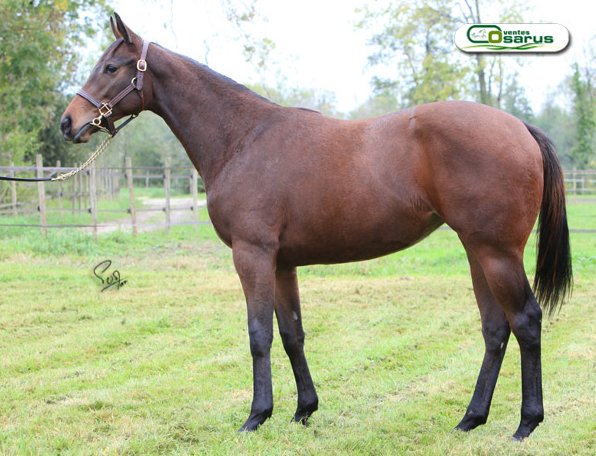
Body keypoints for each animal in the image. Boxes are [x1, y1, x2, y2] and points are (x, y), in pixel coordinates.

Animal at [60, 14, 572, 440]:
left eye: (111, 67)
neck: (241, 138)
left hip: (496, 252)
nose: (68, 123)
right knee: (495, 329)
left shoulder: (252, 255)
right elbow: (292, 334)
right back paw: (470, 418)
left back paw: (526, 423)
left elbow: (259, 335)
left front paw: (256, 416)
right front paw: (303, 409)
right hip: (476, 250)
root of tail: (520, 128)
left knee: (525, 321)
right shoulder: (282, 263)